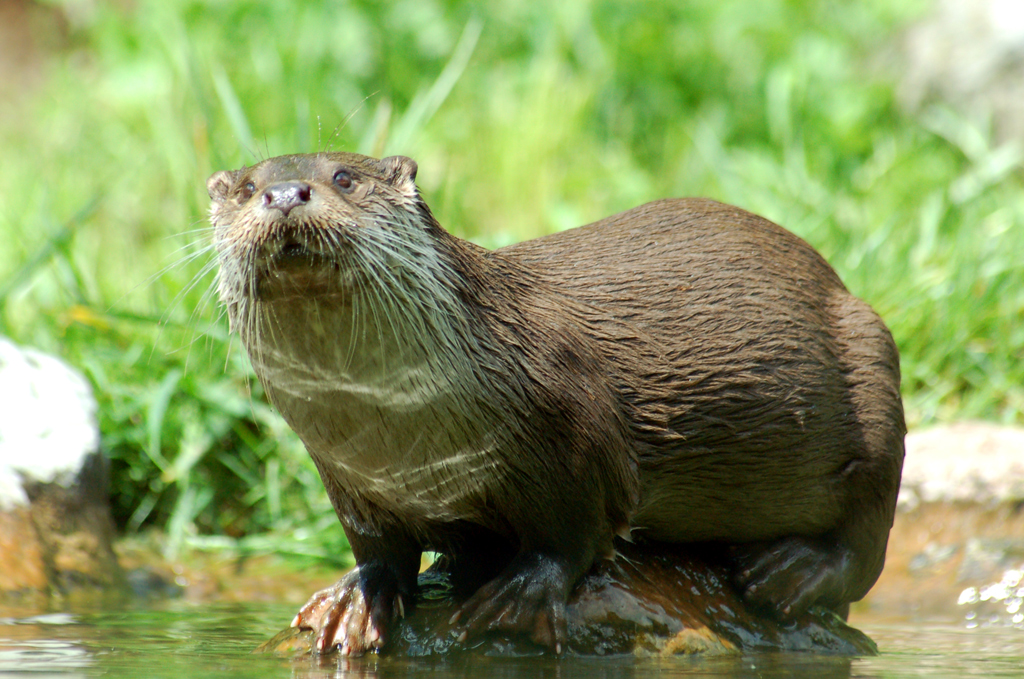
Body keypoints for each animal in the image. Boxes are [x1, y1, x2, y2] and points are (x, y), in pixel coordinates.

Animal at [205, 152, 905, 655]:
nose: (284, 194)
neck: (400, 438)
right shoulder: (345, 476)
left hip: (872, 365)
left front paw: (519, 594)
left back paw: (790, 572)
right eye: (247, 187)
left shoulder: (572, 426)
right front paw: (357, 600)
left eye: (343, 178)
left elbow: (577, 529)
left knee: (868, 541)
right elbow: (377, 549)